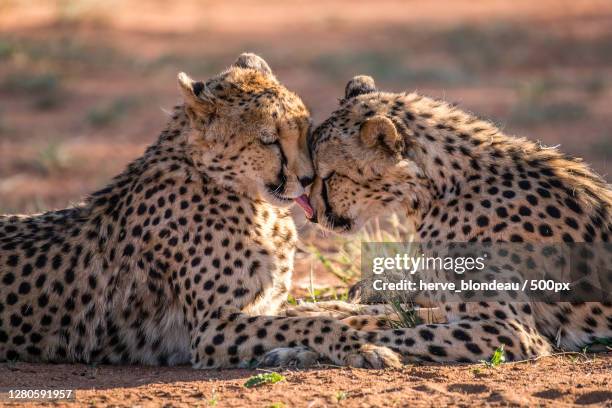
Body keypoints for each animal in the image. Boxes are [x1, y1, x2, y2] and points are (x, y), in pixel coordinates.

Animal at [0, 58, 400, 370]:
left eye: (305, 131)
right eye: (269, 140)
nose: (305, 178)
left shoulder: (259, 308)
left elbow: (316, 314)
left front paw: (382, 320)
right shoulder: (210, 330)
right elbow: (314, 324)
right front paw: (361, 347)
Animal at [302, 75, 612, 362]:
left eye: (329, 177)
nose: (313, 216)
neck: (441, 186)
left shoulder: (508, 331)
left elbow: (396, 331)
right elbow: (400, 315)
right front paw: (323, 311)